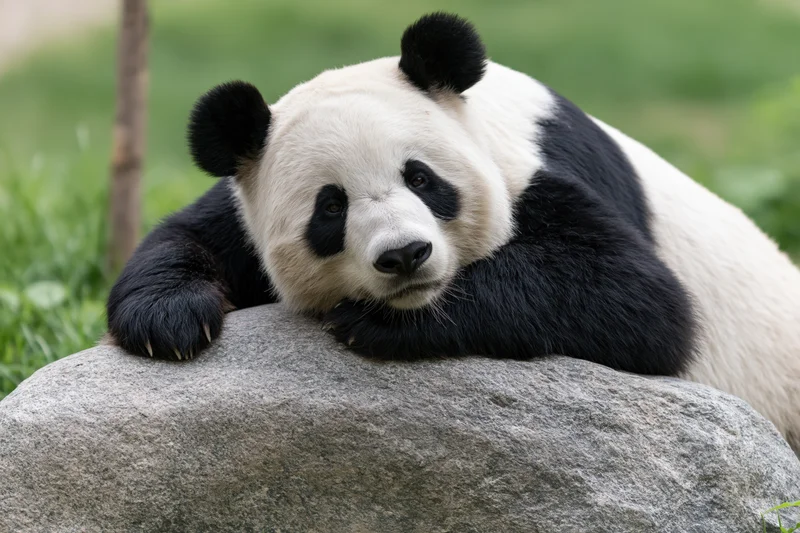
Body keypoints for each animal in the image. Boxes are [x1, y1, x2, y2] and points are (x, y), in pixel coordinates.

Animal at [107, 13, 800, 451]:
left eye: (421, 177)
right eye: (330, 208)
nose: (404, 256)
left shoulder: (533, 167)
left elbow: (639, 299)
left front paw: (383, 324)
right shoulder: (244, 200)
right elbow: (188, 237)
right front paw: (168, 319)